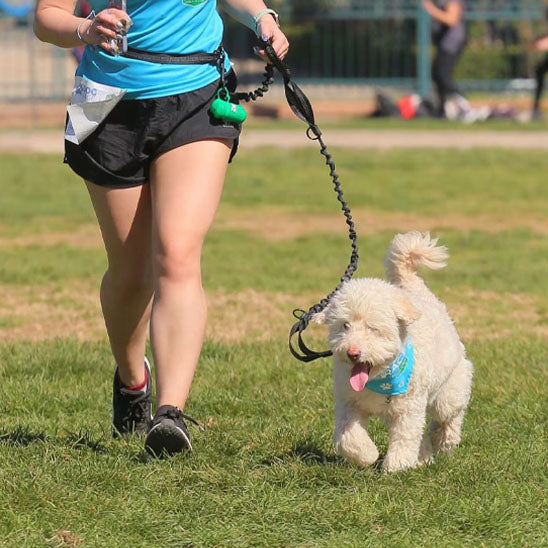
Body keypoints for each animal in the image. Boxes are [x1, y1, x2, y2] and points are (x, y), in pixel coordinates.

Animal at [314, 230, 474, 470]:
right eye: (344, 325)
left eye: (372, 328)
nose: (353, 353)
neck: (379, 376)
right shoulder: (349, 403)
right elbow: (348, 438)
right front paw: (367, 455)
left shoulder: (408, 408)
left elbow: (405, 437)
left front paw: (395, 467)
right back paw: (424, 456)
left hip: (450, 387)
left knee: (449, 414)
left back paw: (443, 440)